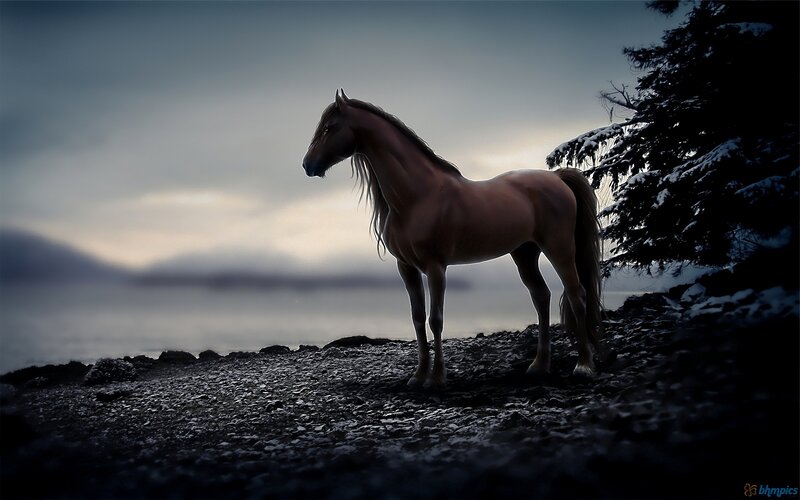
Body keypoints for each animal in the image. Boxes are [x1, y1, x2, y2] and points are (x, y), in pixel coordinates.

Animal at [302, 90, 602, 389]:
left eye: (329, 127)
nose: (307, 164)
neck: (418, 196)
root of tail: (557, 178)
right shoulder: (406, 268)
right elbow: (417, 318)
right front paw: (418, 375)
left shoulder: (436, 267)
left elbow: (435, 319)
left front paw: (436, 378)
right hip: (524, 254)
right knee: (541, 296)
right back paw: (539, 366)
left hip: (559, 249)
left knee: (577, 295)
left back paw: (583, 366)